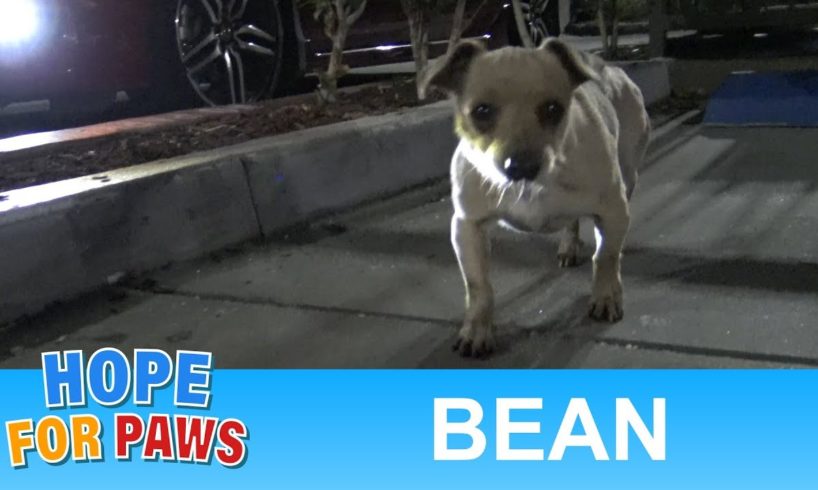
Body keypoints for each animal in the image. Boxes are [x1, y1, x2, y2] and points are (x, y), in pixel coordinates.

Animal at [420, 39, 652, 356]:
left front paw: (606, 295)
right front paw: (477, 329)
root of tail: (615, 69)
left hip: (628, 176)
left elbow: (605, 256)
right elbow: (479, 287)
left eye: (553, 109)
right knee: (571, 223)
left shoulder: (614, 211)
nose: (521, 165)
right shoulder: (467, 227)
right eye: (481, 111)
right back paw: (568, 246)